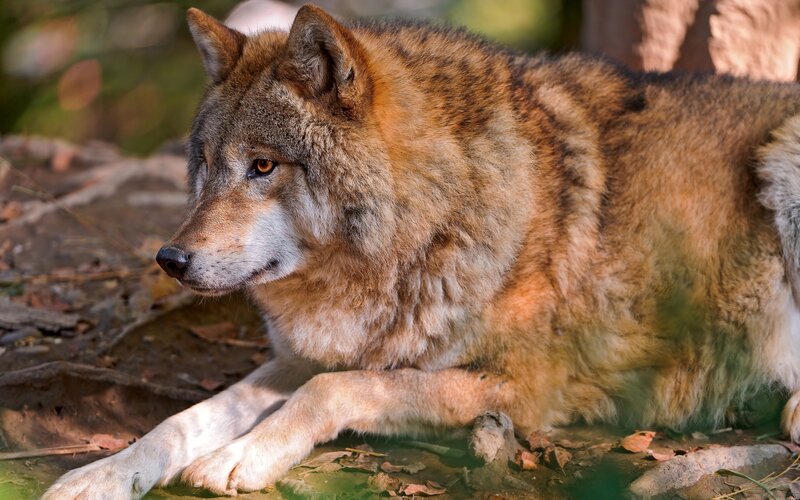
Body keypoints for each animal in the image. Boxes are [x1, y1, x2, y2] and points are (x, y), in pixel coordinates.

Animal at [44, 4, 800, 498]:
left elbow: (334, 389)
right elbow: (182, 420)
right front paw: (97, 475)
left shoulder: (525, 385)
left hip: (784, 160)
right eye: (205, 164)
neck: (430, 227)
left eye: (263, 166)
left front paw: (243, 458)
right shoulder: (304, 355)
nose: (170, 260)